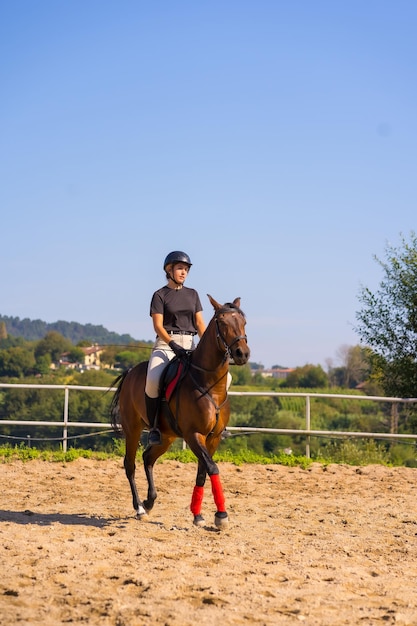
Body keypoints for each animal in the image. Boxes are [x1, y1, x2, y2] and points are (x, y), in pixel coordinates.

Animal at [109, 294, 249, 528]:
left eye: (244, 322)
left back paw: (149, 501)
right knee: (130, 464)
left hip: (166, 436)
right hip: (133, 429)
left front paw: (198, 515)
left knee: (148, 458)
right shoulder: (194, 435)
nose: (242, 354)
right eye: (222, 323)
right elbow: (212, 468)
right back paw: (139, 508)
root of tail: (130, 372)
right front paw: (221, 515)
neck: (210, 385)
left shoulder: (213, 438)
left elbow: (203, 472)